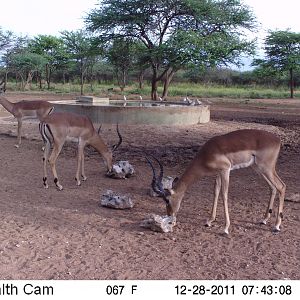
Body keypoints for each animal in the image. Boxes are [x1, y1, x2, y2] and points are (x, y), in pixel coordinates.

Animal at [146, 129, 288, 234]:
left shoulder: (226, 170)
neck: (206, 154)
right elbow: (216, 192)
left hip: (266, 167)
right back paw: (264, 219)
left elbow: (224, 195)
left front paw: (225, 228)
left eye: (167, 200)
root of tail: (277, 139)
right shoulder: (218, 173)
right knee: (272, 187)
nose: (170, 215)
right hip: (258, 168)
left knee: (281, 186)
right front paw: (209, 221)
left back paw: (277, 226)